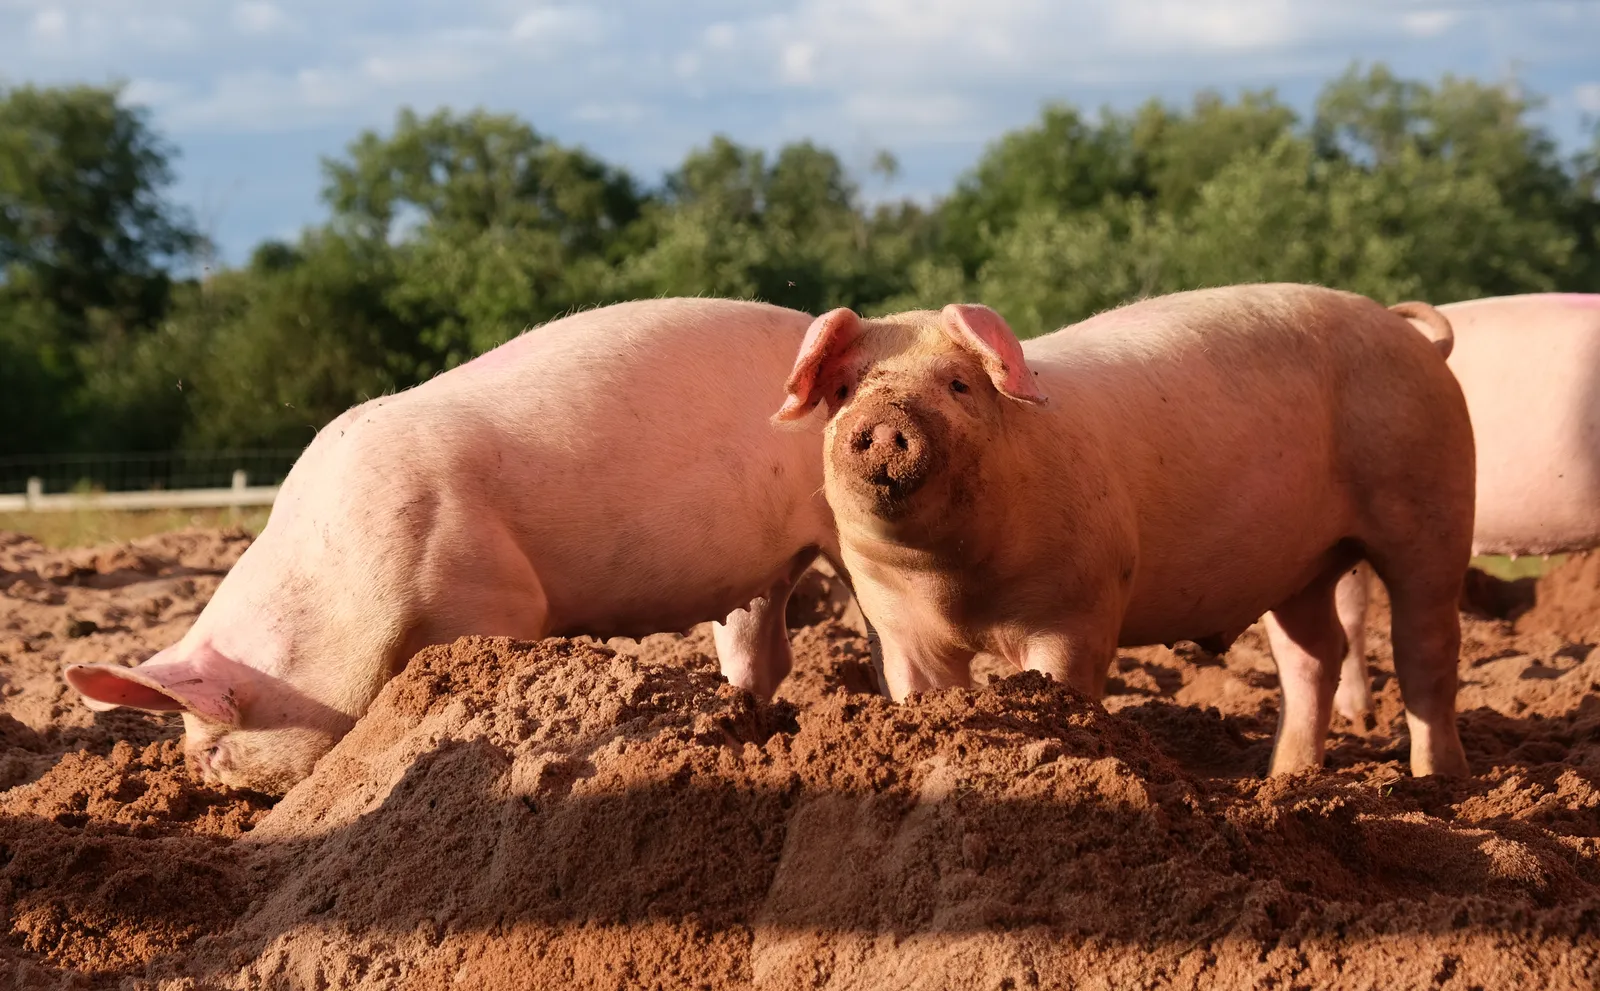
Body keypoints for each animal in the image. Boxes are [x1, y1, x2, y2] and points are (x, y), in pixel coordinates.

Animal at [65, 298, 850, 794]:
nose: (200, 776)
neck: (333, 589)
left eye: (215, 745)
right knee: (764, 651)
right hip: (763, 570)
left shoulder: (489, 596)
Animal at [775, 284, 1474, 777]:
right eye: (844, 388)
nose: (885, 419)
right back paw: (1284, 776)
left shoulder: (1078, 608)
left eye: (958, 384)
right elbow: (920, 692)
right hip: (1300, 564)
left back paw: (1439, 782)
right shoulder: (893, 621)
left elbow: (1063, 688)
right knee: (1313, 654)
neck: (952, 584)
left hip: (1431, 501)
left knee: (1425, 647)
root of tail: (1412, 336)